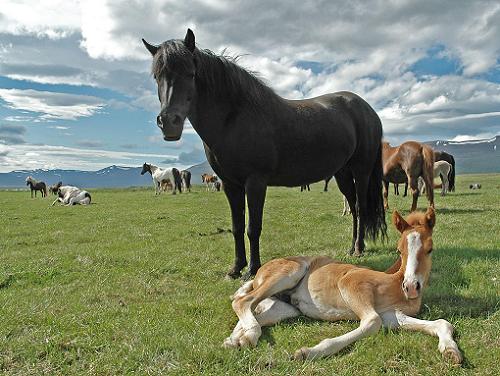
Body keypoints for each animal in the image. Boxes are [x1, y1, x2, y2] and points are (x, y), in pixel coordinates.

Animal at [143, 30, 388, 280]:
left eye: (191, 74)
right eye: (157, 76)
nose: (169, 123)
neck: (234, 118)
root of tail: (368, 110)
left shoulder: (255, 182)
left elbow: (253, 227)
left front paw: (252, 269)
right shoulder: (230, 184)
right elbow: (237, 227)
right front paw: (235, 268)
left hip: (361, 170)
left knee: (360, 206)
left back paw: (359, 249)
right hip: (342, 173)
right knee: (353, 207)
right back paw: (351, 248)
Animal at [225, 207, 462, 366]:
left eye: (430, 249)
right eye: (399, 250)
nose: (411, 286)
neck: (393, 283)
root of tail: (260, 272)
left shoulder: (393, 315)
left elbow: (442, 323)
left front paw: (451, 351)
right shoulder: (351, 284)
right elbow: (372, 322)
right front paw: (307, 352)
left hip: (286, 308)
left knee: (255, 311)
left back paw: (236, 340)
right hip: (290, 272)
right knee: (243, 301)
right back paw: (248, 337)